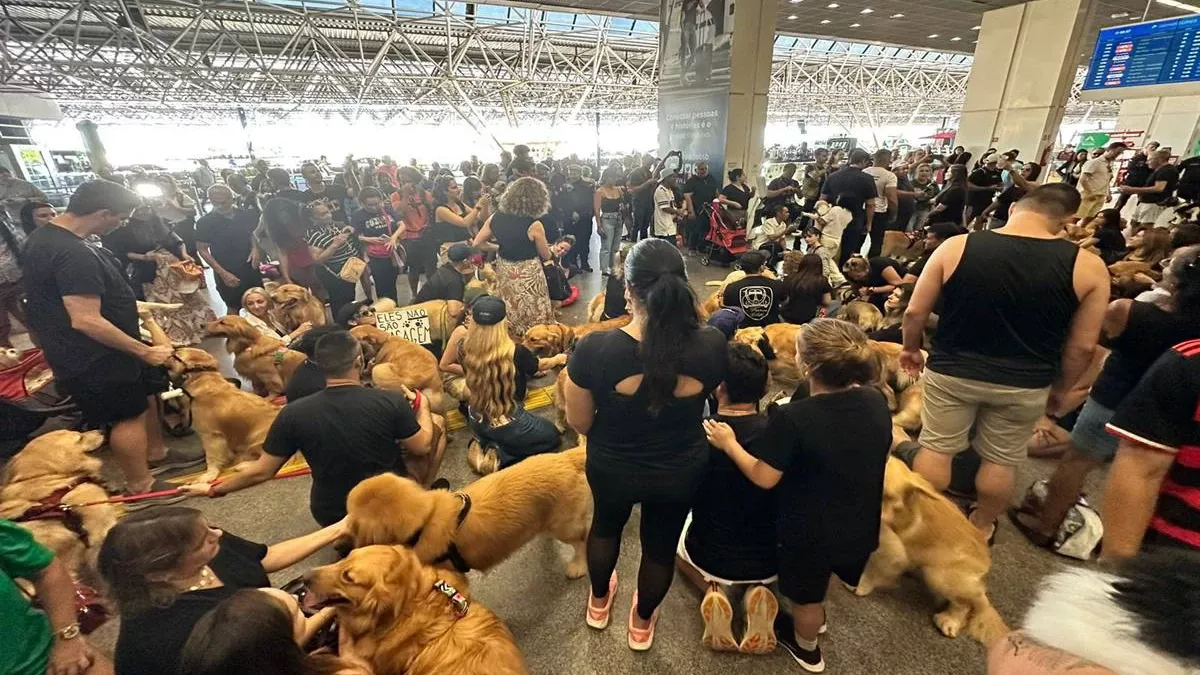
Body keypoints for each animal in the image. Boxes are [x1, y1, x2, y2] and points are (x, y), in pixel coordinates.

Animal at [164, 345, 280, 482]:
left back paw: (243, 465)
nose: (170, 351)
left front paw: (209, 474)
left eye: (175, 355)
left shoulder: (211, 436)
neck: (201, 378)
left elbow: (212, 458)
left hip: (255, 439)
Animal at [348, 444, 590, 576]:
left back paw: (578, 566)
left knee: (582, 541)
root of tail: (565, 457)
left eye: (352, 518)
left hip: (565, 526)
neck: (428, 516)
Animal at [859, 454, 1008, 643]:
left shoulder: (890, 546)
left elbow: (874, 568)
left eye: (887, 496)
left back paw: (950, 621)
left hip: (937, 575)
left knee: (967, 604)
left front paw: (860, 585)